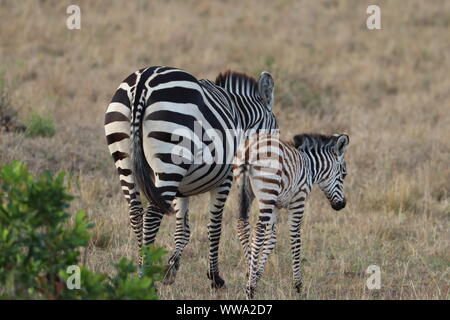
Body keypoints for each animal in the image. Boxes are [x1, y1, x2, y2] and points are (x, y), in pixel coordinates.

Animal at [104, 65, 278, 288]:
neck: (241, 121)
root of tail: (143, 82)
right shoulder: (225, 178)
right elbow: (215, 226)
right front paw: (215, 278)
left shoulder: (181, 188)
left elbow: (183, 228)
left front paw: (171, 269)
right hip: (169, 157)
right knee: (151, 215)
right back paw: (145, 277)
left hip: (126, 157)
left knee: (136, 212)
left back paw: (140, 270)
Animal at [234, 132, 350, 298]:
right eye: (344, 174)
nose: (342, 205)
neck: (310, 167)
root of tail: (250, 149)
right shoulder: (298, 200)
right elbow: (295, 239)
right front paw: (298, 286)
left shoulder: (275, 205)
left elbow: (271, 240)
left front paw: (255, 273)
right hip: (268, 190)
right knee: (257, 233)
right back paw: (250, 289)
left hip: (245, 191)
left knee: (242, 226)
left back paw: (250, 276)